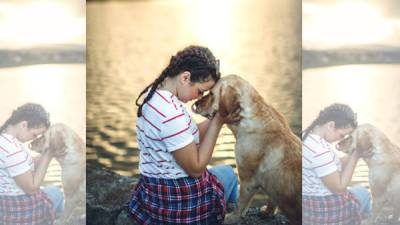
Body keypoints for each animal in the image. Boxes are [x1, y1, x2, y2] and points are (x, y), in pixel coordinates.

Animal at [193, 74, 300, 224]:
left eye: (212, 93)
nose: (195, 104)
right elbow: (272, 198)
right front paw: (268, 211)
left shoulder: (247, 179)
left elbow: (241, 203)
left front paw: (232, 217)